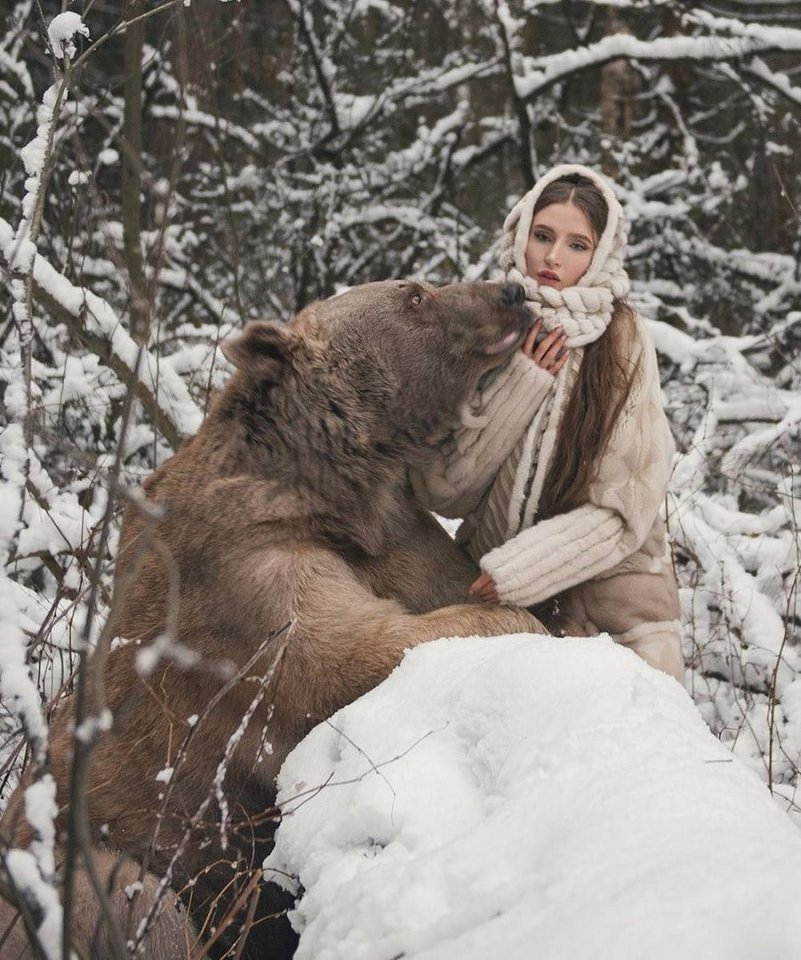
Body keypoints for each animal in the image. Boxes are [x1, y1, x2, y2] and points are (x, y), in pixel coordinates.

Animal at [0, 278, 544, 960]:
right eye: (414, 296)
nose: (512, 291)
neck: (332, 491)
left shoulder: (395, 537)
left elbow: (438, 586)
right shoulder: (247, 587)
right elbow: (350, 656)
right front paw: (522, 621)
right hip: (79, 870)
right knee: (134, 898)